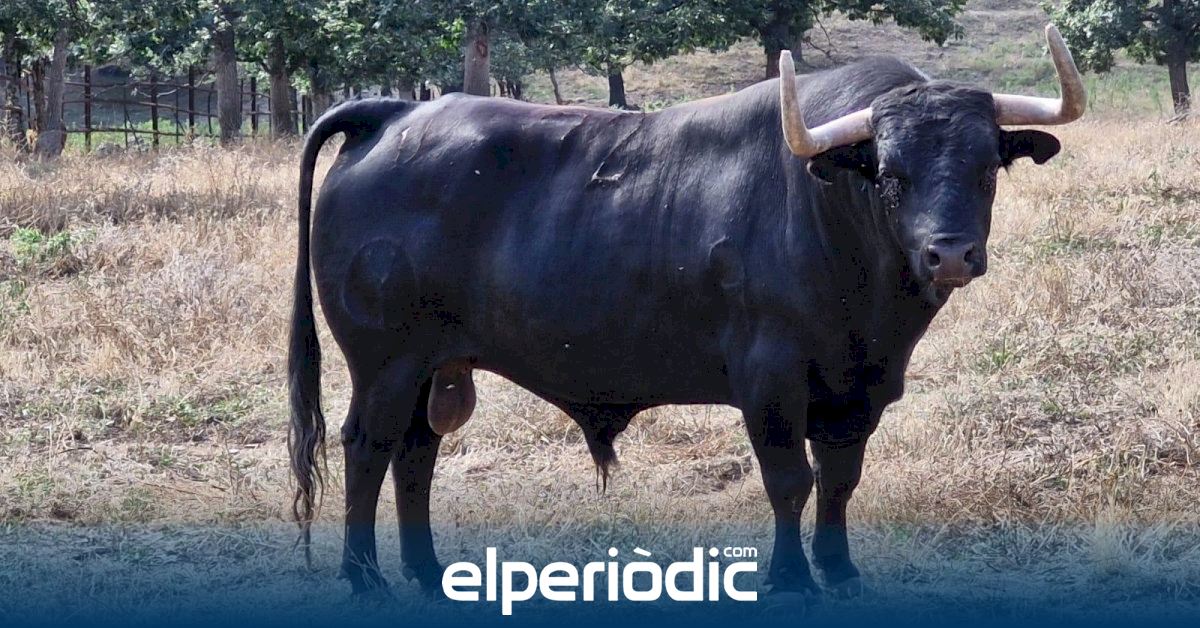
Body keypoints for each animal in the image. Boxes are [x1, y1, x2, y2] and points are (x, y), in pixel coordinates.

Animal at [287, 25, 1085, 599]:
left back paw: (427, 575)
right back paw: (366, 579)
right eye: (890, 174)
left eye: (987, 170)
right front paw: (789, 579)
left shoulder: (859, 389)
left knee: (415, 455)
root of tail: (398, 113)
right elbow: (788, 480)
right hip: (385, 363)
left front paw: (840, 571)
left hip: (434, 365)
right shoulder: (770, 378)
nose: (949, 254)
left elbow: (839, 479)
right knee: (368, 448)